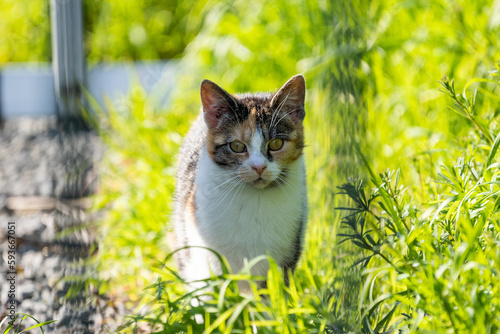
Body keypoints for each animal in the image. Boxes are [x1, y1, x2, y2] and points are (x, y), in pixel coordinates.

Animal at [170, 73, 306, 290]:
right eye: (236, 146)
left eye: (276, 143)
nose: (259, 167)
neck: (252, 200)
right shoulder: (204, 257)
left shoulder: (285, 253)